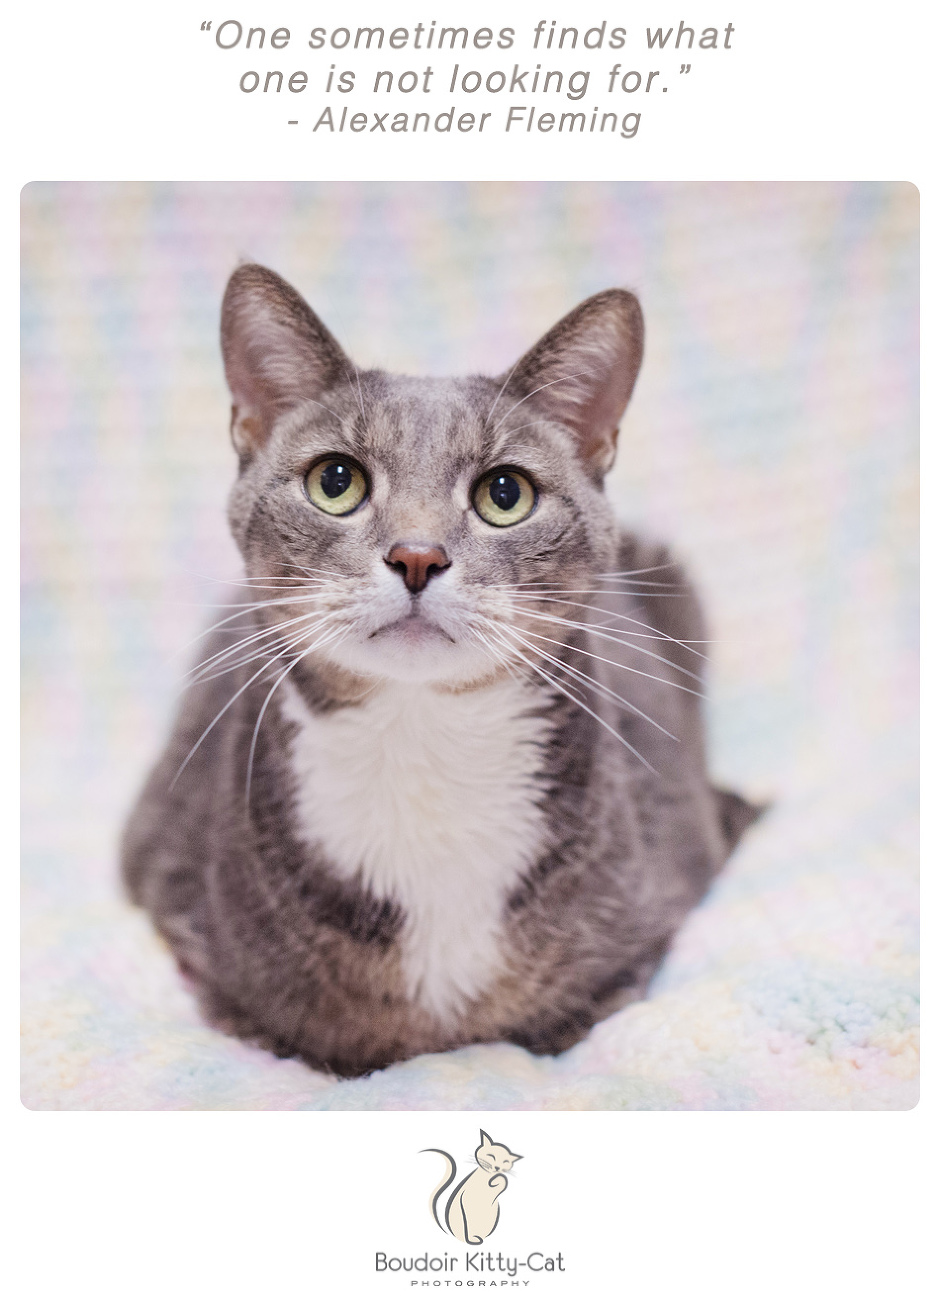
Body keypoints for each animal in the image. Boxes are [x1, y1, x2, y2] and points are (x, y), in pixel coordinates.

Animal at [121, 259, 762, 1076]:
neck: (420, 744)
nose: (417, 555)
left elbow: (575, 1012)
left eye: (505, 493)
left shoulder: (652, 912)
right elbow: (286, 1032)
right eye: (336, 481)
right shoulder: (174, 888)